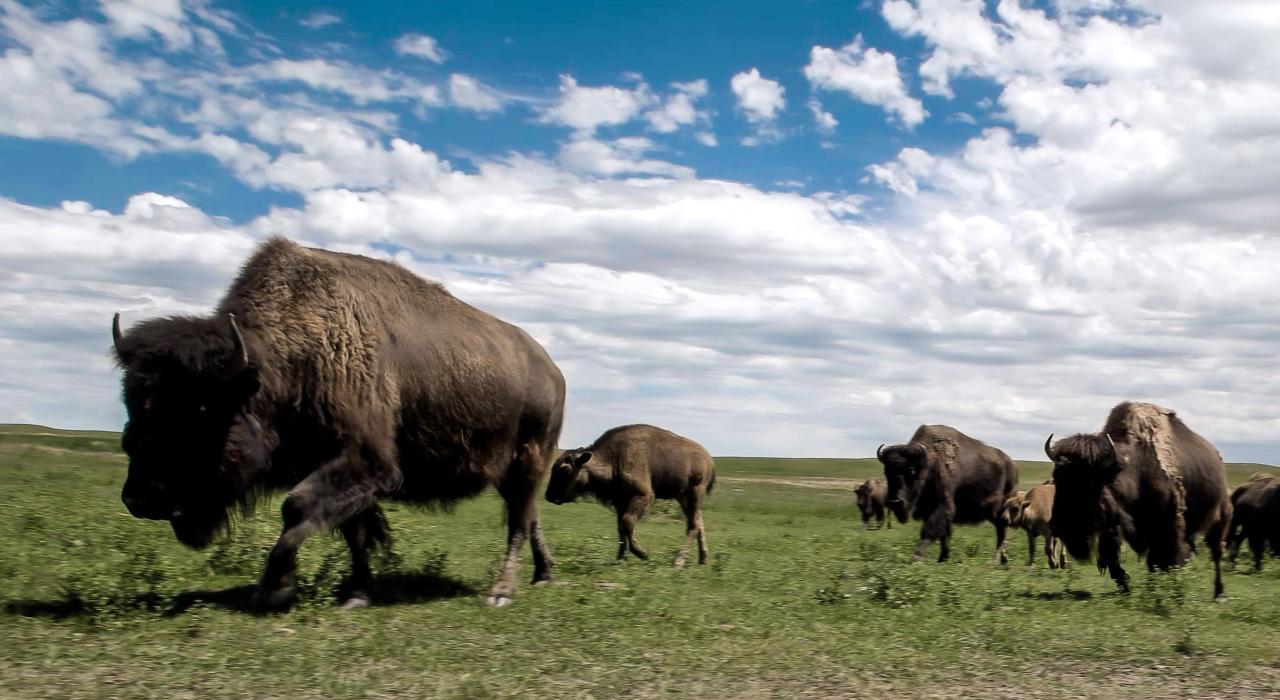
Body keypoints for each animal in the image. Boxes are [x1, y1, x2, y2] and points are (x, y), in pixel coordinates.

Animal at [113, 237, 566, 608]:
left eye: (201, 409)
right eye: (132, 403)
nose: (140, 499)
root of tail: (552, 369)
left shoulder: (366, 461)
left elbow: (297, 508)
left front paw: (274, 589)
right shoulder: (343, 472)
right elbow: (354, 533)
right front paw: (357, 594)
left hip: (529, 459)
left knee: (518, 522)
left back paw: (501, 592)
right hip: (509, 472)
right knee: (528, 515)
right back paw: (543, 575)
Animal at [545, 424, 714, 567]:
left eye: (565, 469)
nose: (548, 496)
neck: (613, 459)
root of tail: (709, 459)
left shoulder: (643, 495)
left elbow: (627, 523)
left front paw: (642, 553)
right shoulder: (620, 502)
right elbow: (621, 529)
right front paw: (621, 559)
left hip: (693, 493)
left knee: (693, 526)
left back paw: (679, 561)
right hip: (683, 498)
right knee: (699, 524)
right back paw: (703, 560)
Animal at [877, 425, 1019, 563]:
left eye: (911, 471)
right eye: (886, 472)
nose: (895, 502)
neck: (930, 462)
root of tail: (1011, 465)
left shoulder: (942, 506)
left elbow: (930, 531)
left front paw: (917, 557)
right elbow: (944, 536)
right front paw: (943, 558)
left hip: (996, 510)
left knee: (1001, 530)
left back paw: (995, 560)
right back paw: (1003, 560)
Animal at [1046, 402, 1232, 598]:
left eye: (1090, 482)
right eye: (1057, 478)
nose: (1061, 527)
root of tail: (1217, 458)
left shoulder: (1169, 525)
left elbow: (1167, 559)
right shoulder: (1114, 526)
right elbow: (1114, 560)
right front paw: (1128, 588)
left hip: (1220, 518)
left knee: (1216, 552)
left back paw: (1219, 594)